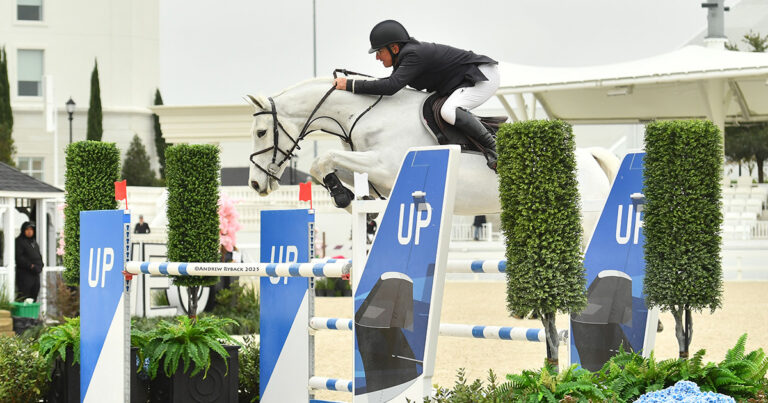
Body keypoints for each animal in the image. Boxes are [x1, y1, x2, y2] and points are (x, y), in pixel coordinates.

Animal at [245, 77, 619, 237]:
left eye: (261, 132)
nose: (255, 184)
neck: (369, 115)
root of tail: (590, 158)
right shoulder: (373, 168)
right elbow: (331, 169)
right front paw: (356, 204)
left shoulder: (386, 165)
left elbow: (321, 161)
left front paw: (342, 197)